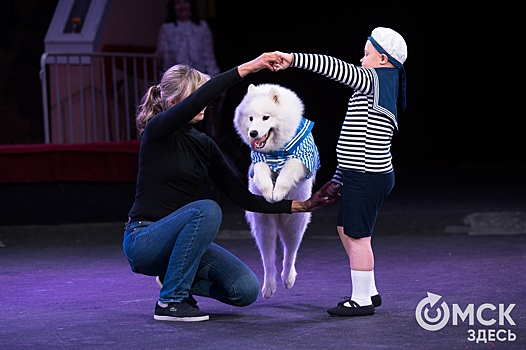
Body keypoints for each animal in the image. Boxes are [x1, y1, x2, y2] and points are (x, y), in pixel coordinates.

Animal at [235, 84, 322, 298]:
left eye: (266, 117)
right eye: (250, 118)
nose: (253, 133)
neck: (275, 151)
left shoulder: (303, 158)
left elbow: (287, 171)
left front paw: (279, 193)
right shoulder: (258, 159)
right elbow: (261, 174)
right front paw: (269, 193)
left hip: (293, 225)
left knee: (290, 253)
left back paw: (287, 278)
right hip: (264, 226)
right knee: (268, 259)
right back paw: (269, 286)